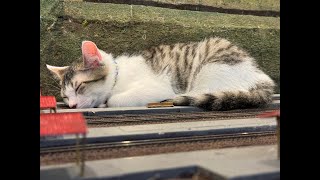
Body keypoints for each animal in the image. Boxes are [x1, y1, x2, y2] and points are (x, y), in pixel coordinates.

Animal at [47, 37, 276, 109]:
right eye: (65, 96)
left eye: (79, 86)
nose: (72, 105)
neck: (118, 77)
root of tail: (260, 76)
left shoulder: (158, 86)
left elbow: (114, 100)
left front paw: (108, 101)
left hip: (211, 68)